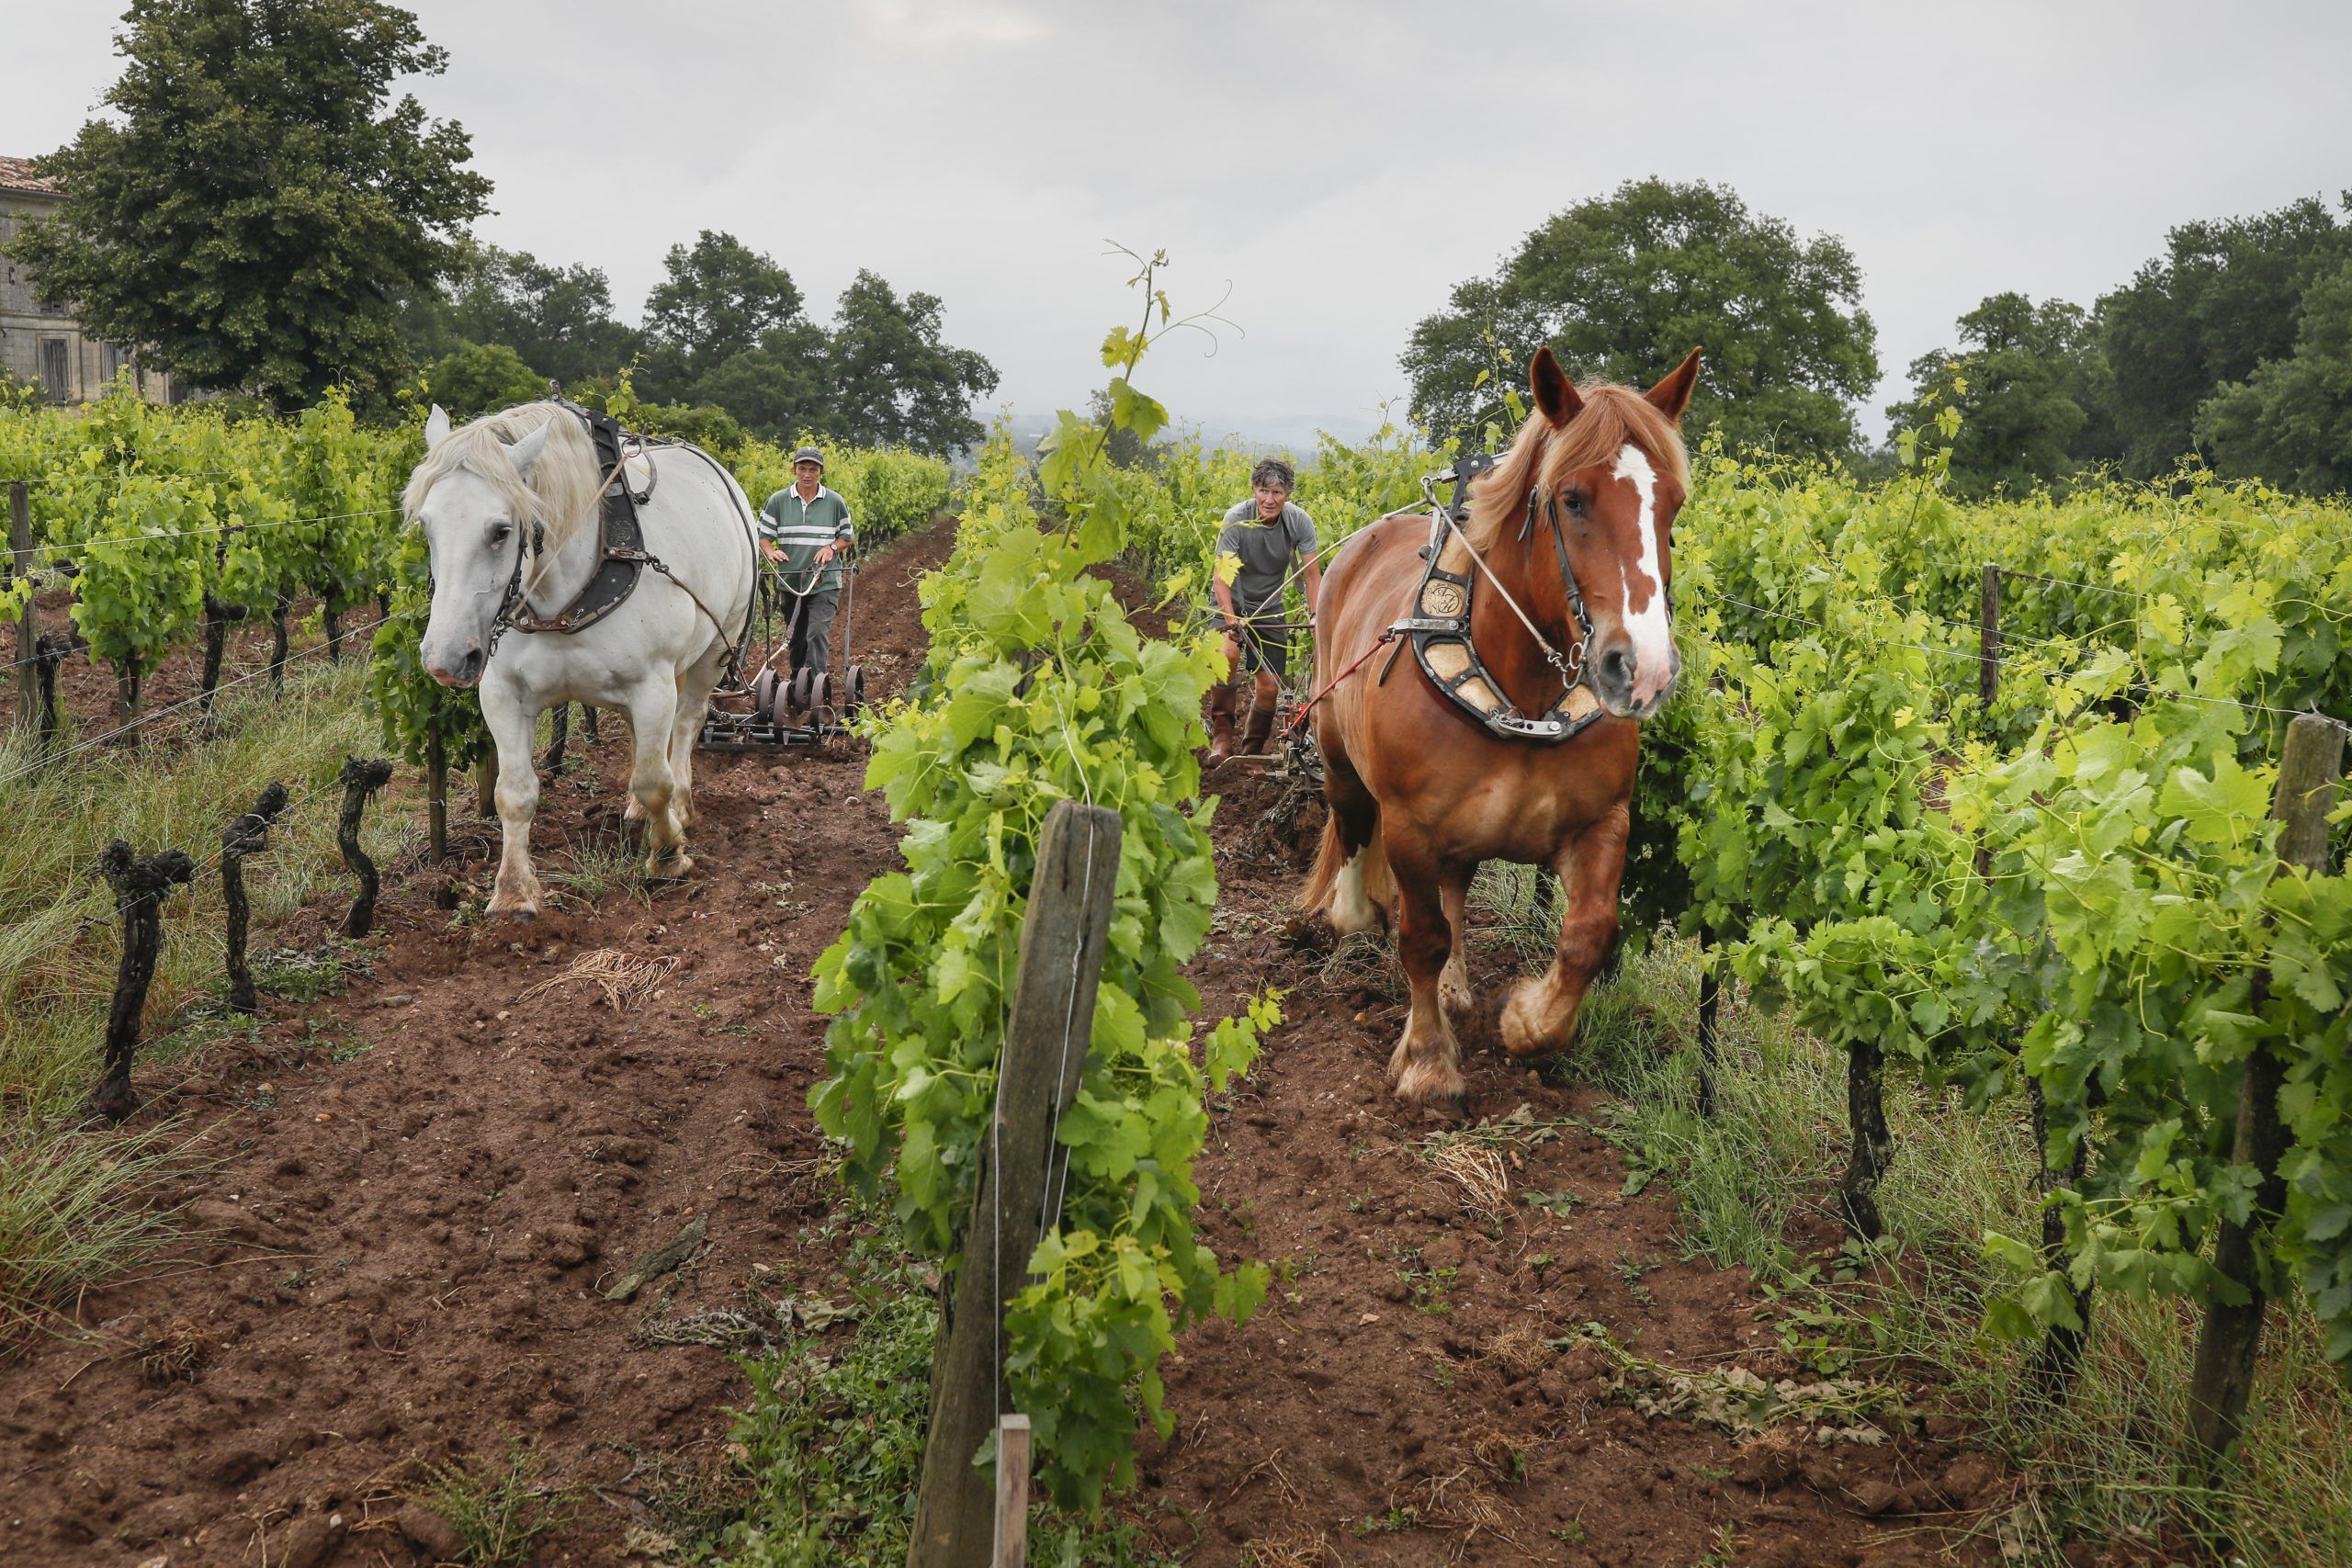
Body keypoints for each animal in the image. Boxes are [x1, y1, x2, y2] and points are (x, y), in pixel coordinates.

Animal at [409, 401, 757, 921]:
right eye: (426, 526)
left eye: (501, 532)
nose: (445, 659)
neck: (564, 601)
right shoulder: (502, 693)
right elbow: (513, 793)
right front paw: (513, 892)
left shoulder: (653, 685)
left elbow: (655, 779)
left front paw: (668, 854)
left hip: (718, 646)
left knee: (687, 723)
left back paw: (681, 807)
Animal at [1307, 345, 1693, 1104]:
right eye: (1571, 499)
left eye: (1672, 504)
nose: (1644, 670)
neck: (1522, 695)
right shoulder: (1409, 826)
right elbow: (1420, 935)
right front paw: (1428, 1059)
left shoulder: (1602, 820)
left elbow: (1589, 933)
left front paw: (1526, 1018)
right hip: (1338, 753)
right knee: (1352, 825)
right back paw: (1354, 914)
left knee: (1457, 887)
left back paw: (1457, 986)